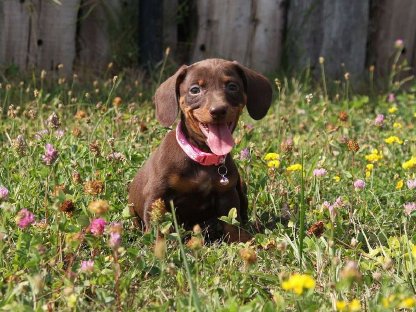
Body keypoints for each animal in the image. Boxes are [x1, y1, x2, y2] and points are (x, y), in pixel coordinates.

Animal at [129, 59, 272, 244]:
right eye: (195, 89)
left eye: (232, 86)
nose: (218, 110)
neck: (202, 157)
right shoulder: (158, 195)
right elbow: (158, 227)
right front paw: (160, 245)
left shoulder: (227, 194)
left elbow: (232, 223)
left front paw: (244, 240)